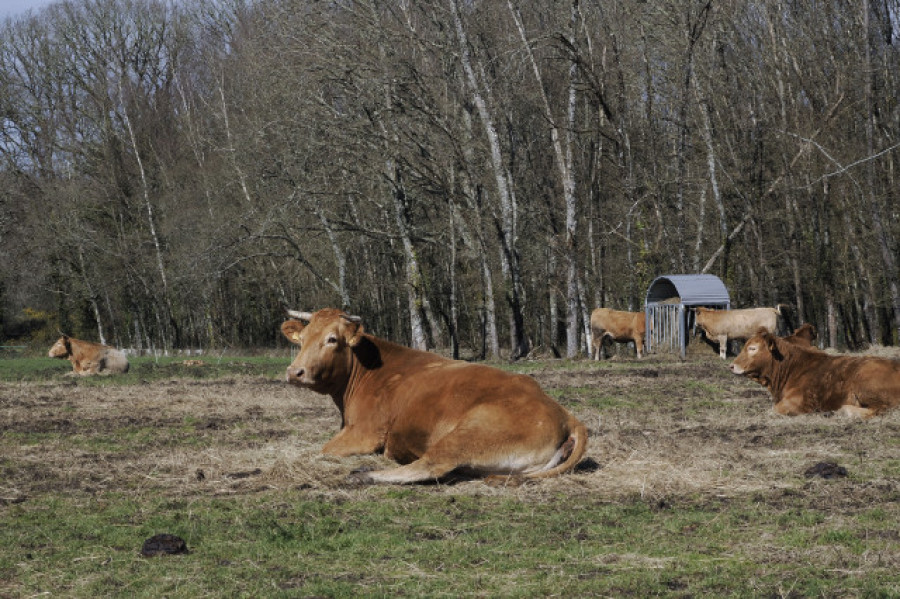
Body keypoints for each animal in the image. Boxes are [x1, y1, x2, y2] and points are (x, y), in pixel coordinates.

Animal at [284, 308, 592, 486]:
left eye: (332, 339)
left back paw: (362, 475)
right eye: (302, 339)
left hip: (466, 434)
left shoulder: (364, 433)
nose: (294, 372)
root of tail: (566, 414)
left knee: (431, 466)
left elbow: (322, 450)